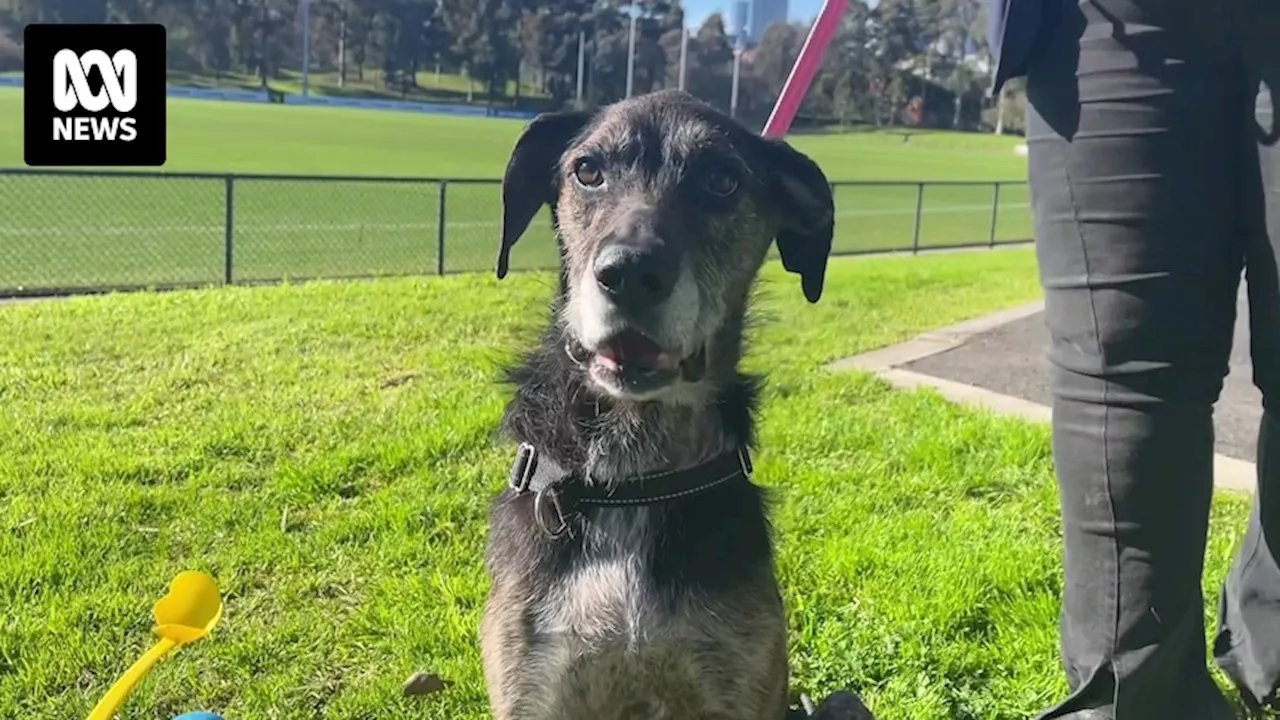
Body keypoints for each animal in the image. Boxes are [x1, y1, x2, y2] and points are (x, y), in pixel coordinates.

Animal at [483, 89, 875, 717]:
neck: (634, 474)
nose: (628, 273)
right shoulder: (534, 686)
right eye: (587, 170)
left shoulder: (735, 685)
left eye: (722, 181)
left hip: (842, 702)